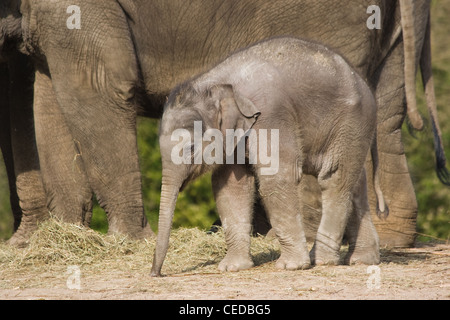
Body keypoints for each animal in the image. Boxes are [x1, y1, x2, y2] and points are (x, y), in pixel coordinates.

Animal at [151, 36, 386, 276]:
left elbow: (277, 176)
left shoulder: (270, 114)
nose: (156, 273)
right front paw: (232, 268)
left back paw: (321, 260)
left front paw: (291, 266)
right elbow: (230, 187)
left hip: (351, 123)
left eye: (190, 148)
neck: (214, 82)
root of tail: (365, 84)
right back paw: (362, 260)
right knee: (354, 184)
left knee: (333, 178)